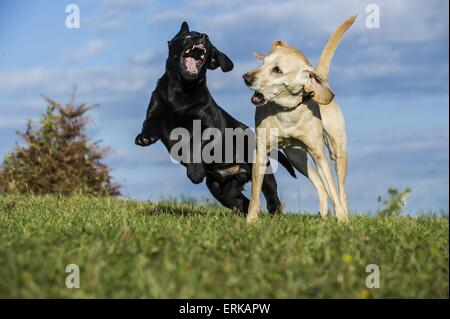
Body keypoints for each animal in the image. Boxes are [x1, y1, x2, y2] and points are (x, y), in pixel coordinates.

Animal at [134, 22, 296, 215]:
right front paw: (144, 137)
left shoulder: (208, 126)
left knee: (272, 197)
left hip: (262, 174)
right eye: (187, 36)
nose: (203, 36)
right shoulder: (155, 111)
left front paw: (195, 172)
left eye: (209, 43)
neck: (181, 90)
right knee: (242, 202)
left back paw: (274, 216)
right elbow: (149, 123)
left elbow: (195, 143)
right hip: (220, 188)